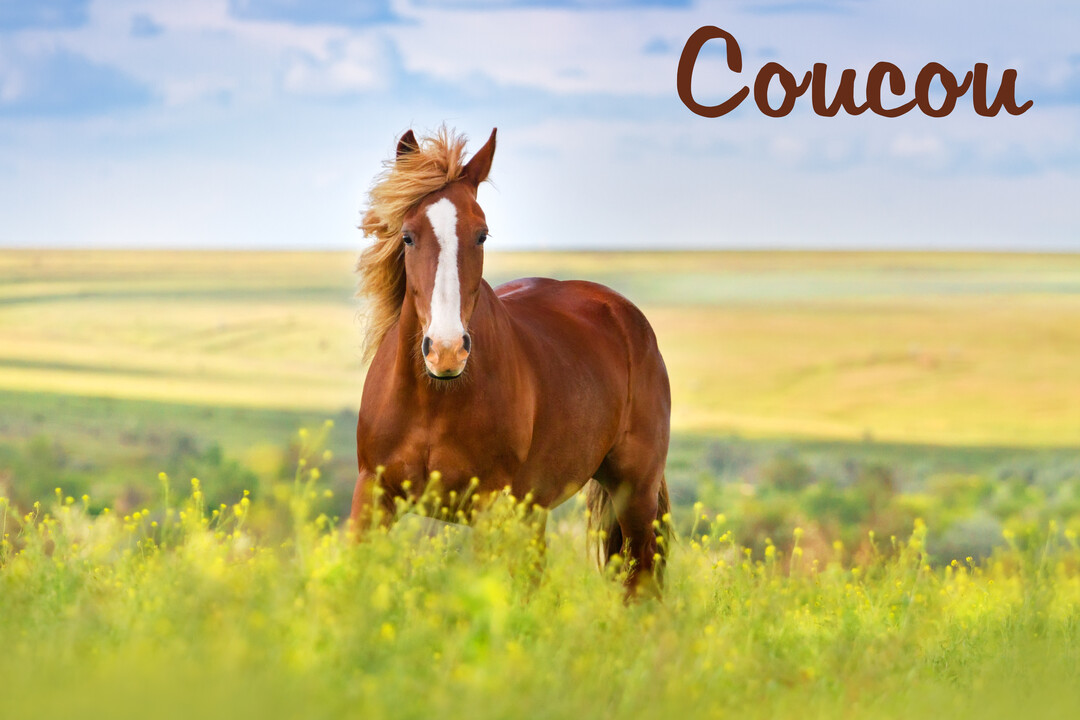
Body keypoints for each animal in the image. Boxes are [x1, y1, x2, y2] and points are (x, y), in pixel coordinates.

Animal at [351, 127, 672, 593]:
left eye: (481, 234)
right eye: (408, 236)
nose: (447, 350)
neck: (435, 399)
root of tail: (624, 314)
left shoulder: (489, 506)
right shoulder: (372, 494)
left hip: (636, 493)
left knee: (641, 580)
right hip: (535, 509)